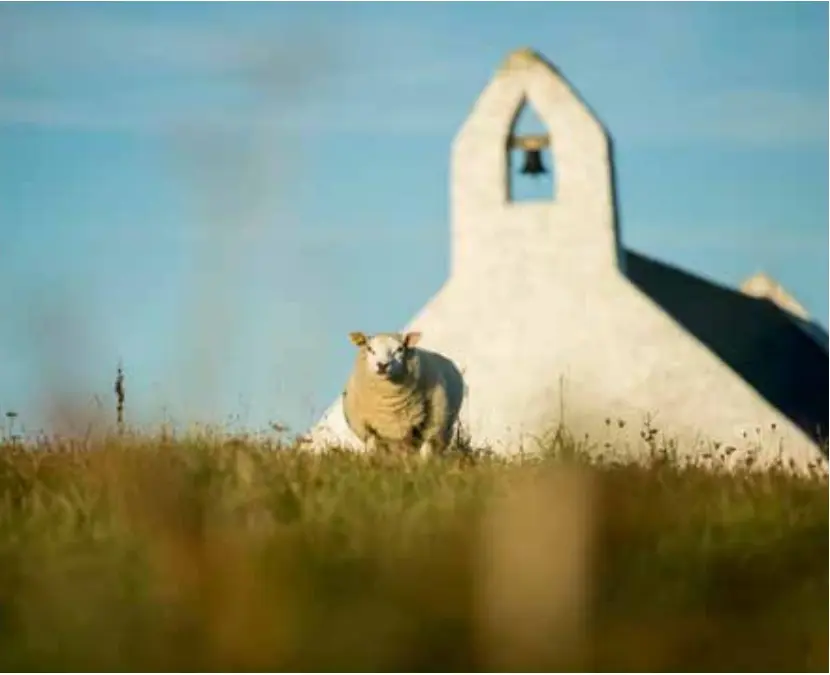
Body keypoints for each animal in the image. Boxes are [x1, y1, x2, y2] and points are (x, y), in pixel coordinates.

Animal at [341, 330, 457, 459]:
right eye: (370, 349)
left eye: (400, 349)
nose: (382, 365)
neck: (389, 402)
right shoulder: (367, 428)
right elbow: (372, 447)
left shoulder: (432, 423)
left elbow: (426, 450)